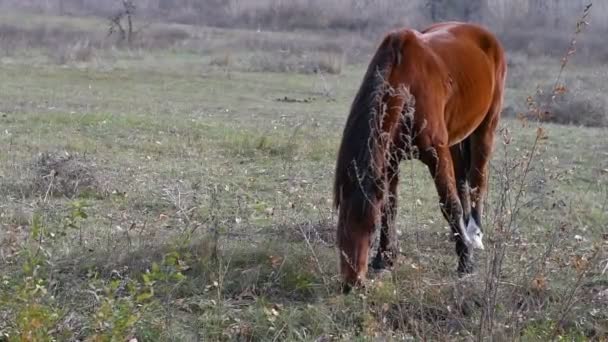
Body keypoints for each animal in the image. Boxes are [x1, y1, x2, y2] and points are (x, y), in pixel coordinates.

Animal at [334, 22, 506, 288]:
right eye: (340, 225)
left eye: (371, 229)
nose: (352, 284)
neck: (408, 85)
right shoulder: (390, 159)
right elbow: (390, 206)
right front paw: (384, 259)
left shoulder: (436, 153)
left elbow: (449, 204)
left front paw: (465, 263)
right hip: (455, 139)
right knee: (462, 180)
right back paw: (461, 233)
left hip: (485, 128)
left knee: (478, 178)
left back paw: (474, 235)